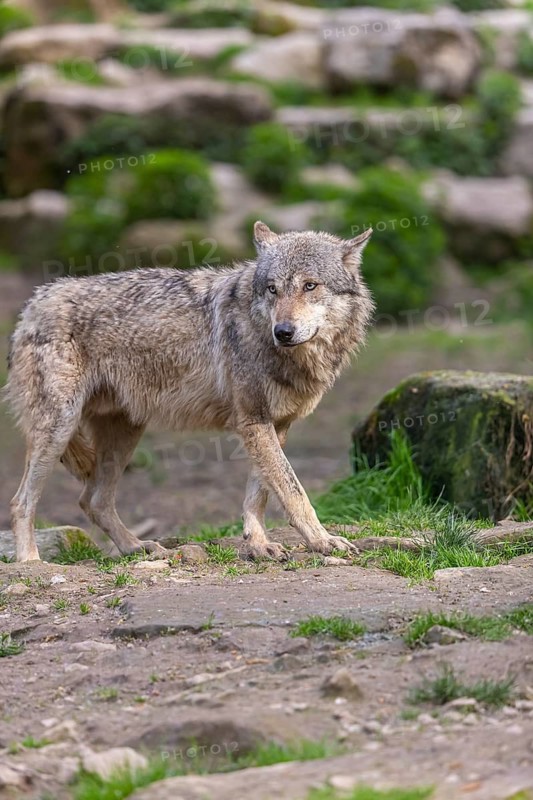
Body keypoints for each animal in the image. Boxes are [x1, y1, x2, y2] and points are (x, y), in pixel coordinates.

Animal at [5, 222, 373, 563]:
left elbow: (260, 493)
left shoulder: (273, 424)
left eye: (310, 285)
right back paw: (31, 563)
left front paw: (258, 545)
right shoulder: (253, 421)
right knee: (21, 501)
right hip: (59, 429)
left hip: (125, 433)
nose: (282, 331)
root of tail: (32, 304)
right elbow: (293, 492)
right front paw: (323, 541)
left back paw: (136, 548)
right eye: (272, 289)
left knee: (93, 500)